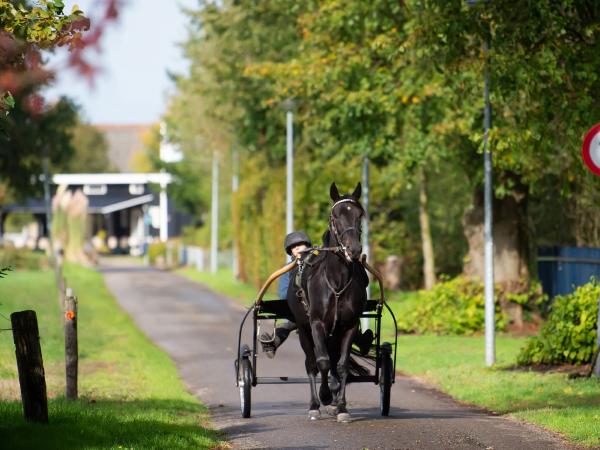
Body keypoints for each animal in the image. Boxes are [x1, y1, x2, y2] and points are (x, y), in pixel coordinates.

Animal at [286, 181, 366, 420]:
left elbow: (341, 365)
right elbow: (321, 362)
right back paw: (315, 403)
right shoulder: (316, 324)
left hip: (334, 332)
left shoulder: (349, 325)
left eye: (360, 214)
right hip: (304, 329)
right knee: (312, 363)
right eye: (335, 216)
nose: (354, 249)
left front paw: (341, 406)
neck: (337, 282)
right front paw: (325, 396)